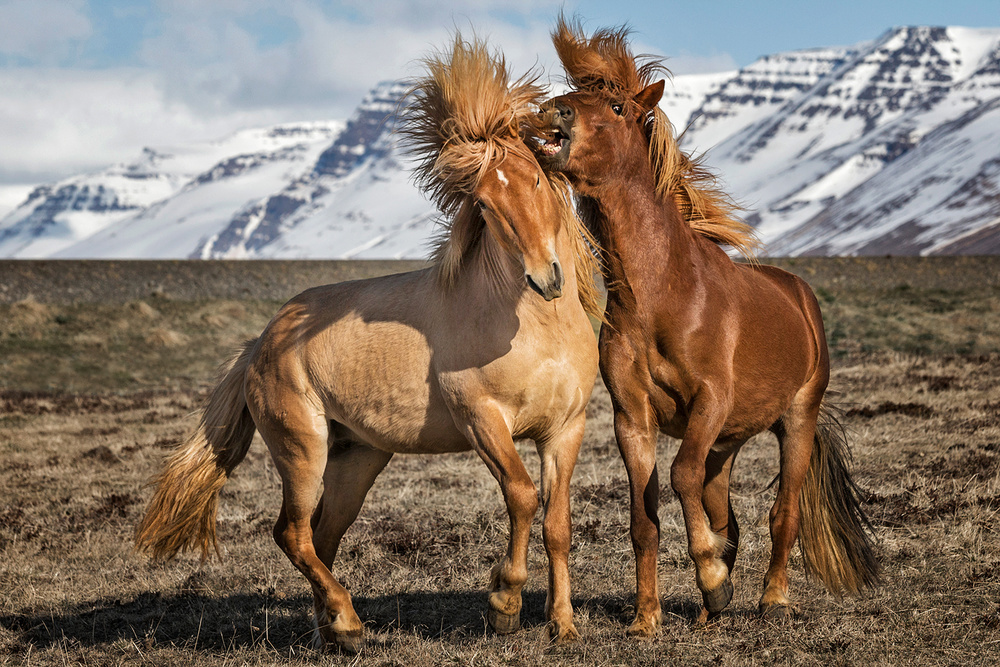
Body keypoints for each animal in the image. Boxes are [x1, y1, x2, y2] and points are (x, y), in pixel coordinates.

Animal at [135, 36, 600, 652]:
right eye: (483, 205)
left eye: (540, 180)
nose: (546, 278)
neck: (533, 330)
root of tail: (261, 343)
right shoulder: (483, 420)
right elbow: (522, 497)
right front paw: (503, 603)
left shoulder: (564, 429)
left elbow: (558, 524)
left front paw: (563, 625)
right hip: (303, 449)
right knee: (291, 533)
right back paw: (350, 622)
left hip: (357, 457)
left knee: (322, 536)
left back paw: (332, 630)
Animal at [540, 19, 876, 636]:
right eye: (573, 93)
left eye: (618, 106)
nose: (555, 113)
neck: (663, 296)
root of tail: (800, 297)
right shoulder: (633, 417)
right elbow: (645, 517)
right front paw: (648, 618)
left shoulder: (709, 400)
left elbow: (678, 478)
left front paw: (713, 578)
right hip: (726, 444)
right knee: (728, 515)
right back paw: (706, 611)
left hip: (794, 420)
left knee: (782, 513)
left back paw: (771, 600)